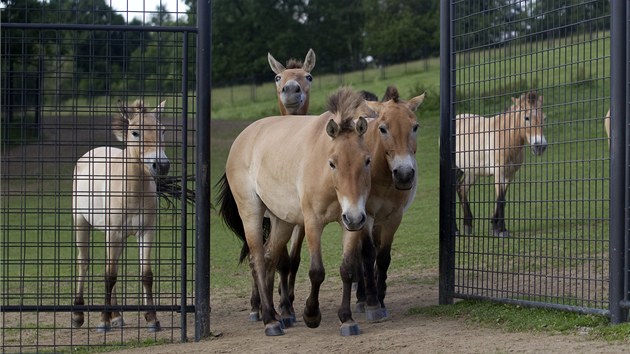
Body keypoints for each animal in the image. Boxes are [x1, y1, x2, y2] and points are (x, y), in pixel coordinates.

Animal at [72, 99, 169, 332]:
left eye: (162, 130)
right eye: (135, 132)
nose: (161, 165)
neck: (132, 189)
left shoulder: (145, 233)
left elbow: (146, 275)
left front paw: (152, 319)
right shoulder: (114, 233)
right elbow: (109, 276)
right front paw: (102, 322)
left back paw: (116, 316)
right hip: (81, 223)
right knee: (84, 262)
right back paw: (78, 315)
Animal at [218, 88, 376, 338]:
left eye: (367, 160)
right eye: (332, 163)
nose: (353, 216)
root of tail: (242, 139)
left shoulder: (351, 224)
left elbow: (347, 269)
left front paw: (347, 319)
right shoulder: (312, 223)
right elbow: (316, 271)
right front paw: (311, 315)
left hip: (281, 221)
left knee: (270, 258)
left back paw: (276, 314)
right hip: (251, 213)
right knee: (258, 260)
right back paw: (270, 321)